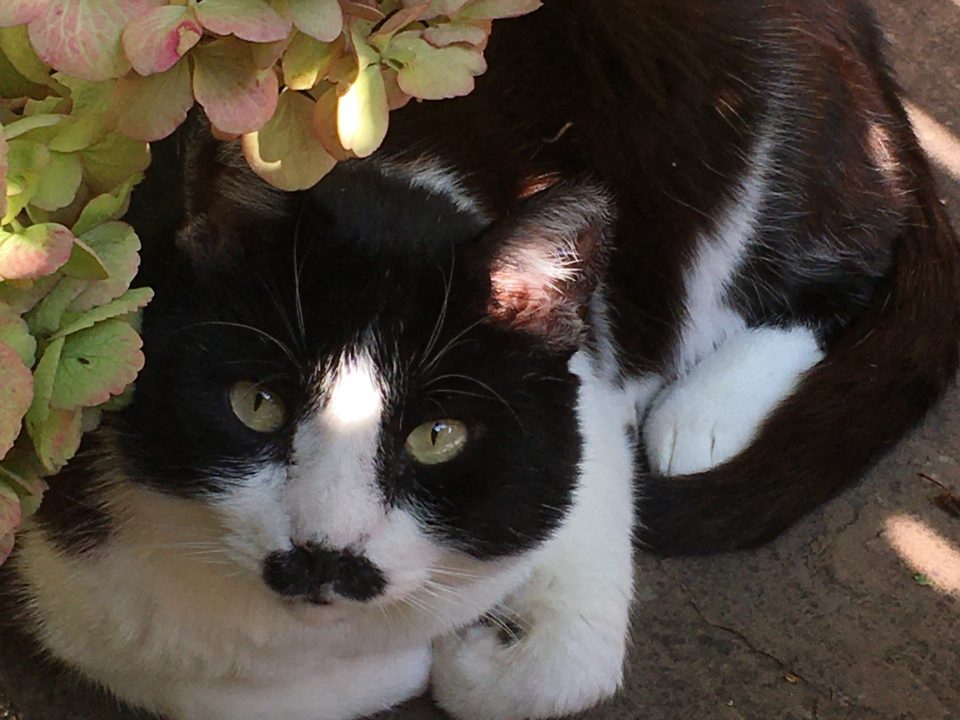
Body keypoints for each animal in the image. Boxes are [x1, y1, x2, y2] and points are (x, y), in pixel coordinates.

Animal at [7, 1, 960, 720]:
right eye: (256, 404)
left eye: (436, 436)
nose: (324, 556)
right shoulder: (62, 552)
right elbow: (190, 679)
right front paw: (409, 660)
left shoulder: (578, 405)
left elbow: (563, 663)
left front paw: (467, 656)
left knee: (844, 261)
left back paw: (704, 413)